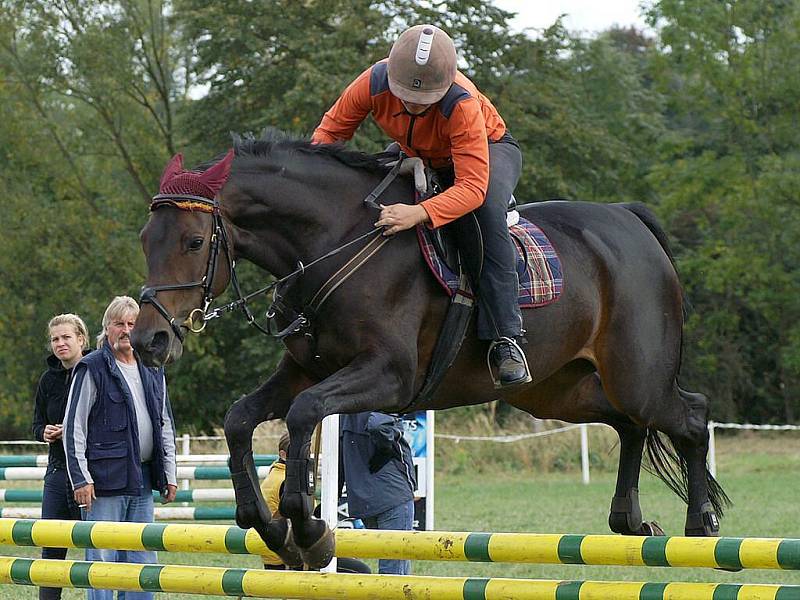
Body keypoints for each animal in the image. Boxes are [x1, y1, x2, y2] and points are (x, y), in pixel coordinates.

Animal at [133, 131, 732, 568]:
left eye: (193, 241)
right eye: (145, 239)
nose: (148, 340)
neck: (335, 243)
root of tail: (631, 220)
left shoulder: (388, 375)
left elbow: (303, 416)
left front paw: (308, 527)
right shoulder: (304, 370)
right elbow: (240, 420)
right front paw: (272, 527)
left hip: (637, 377)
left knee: (689, 416)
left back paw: (700, 523)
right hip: (557, 390)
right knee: (629, 424)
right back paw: (629, 520)